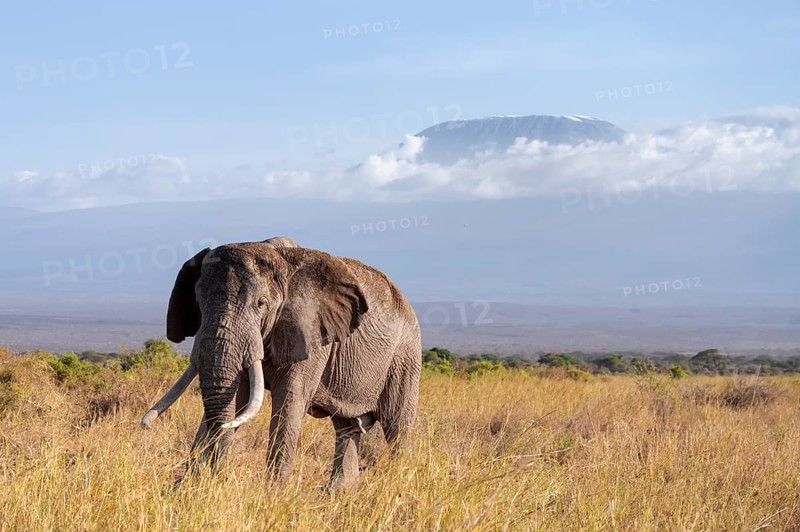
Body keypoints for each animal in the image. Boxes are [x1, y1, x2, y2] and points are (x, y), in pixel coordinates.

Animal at [140, 236, 421, 486]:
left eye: (261, 303)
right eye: (198, 301)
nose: (216, 476)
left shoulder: (311, 332)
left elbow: (289, 400)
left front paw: (273, 493)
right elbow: (237, 397)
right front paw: (188, 487)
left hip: (405, 356)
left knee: (397, 427)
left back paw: (399, 483)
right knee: (347, 428)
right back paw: (338, 493)